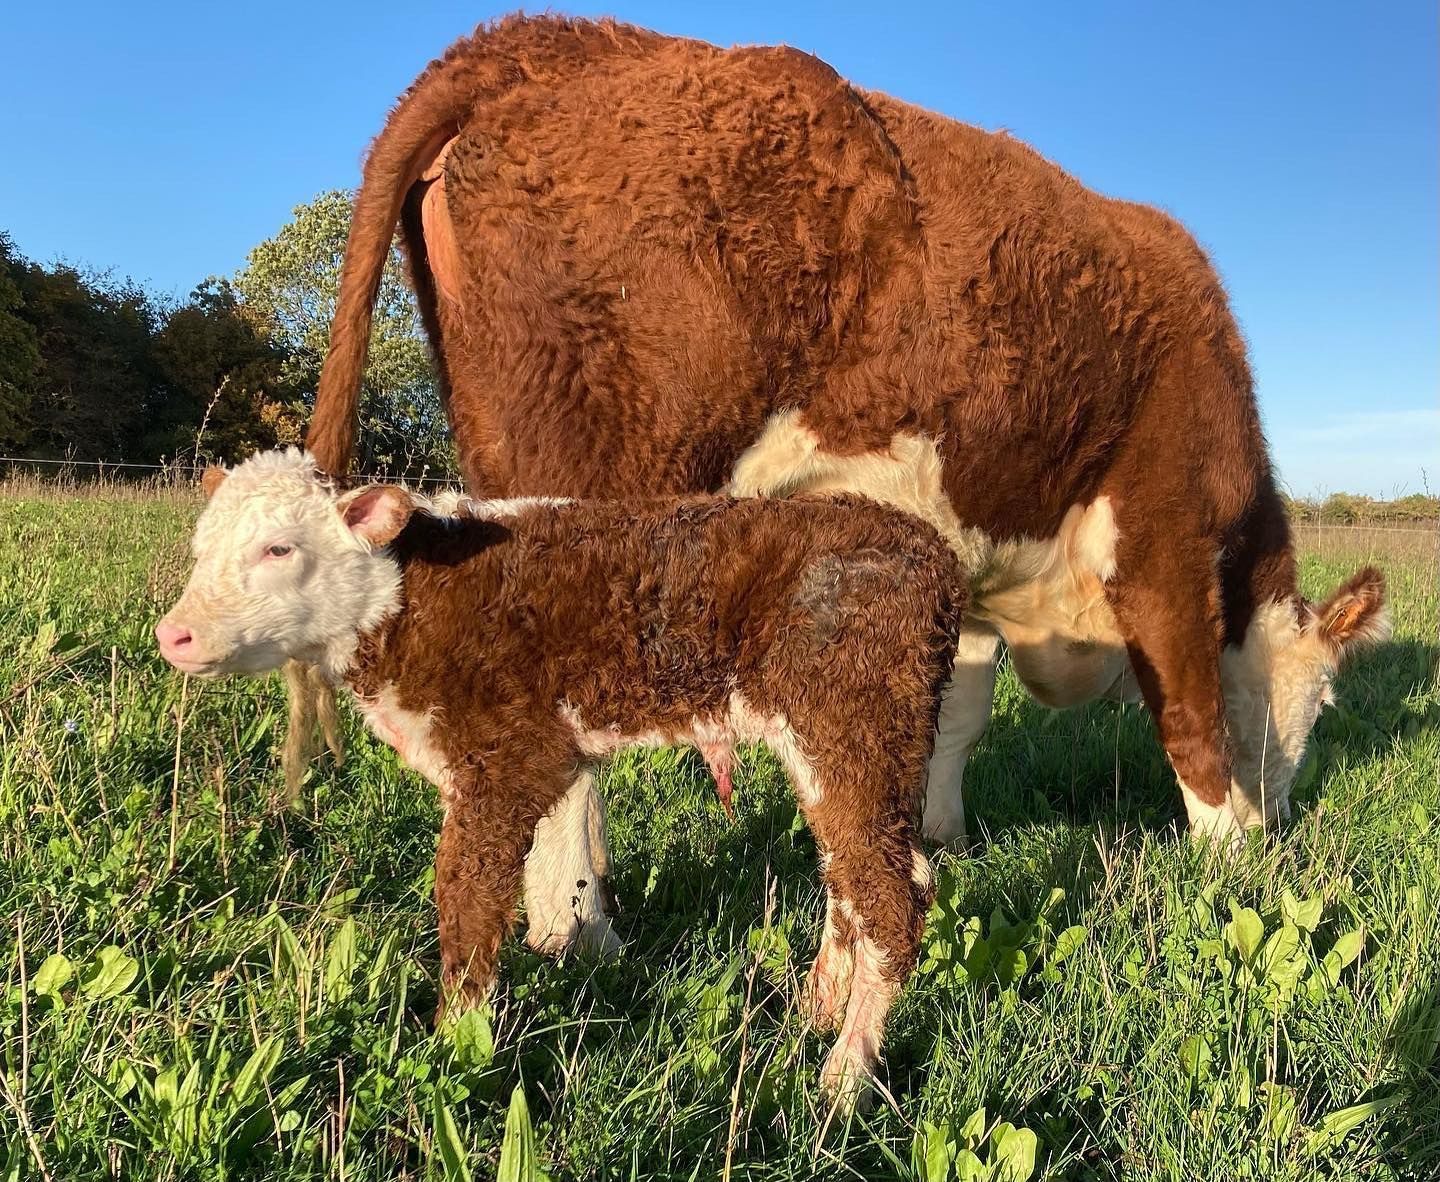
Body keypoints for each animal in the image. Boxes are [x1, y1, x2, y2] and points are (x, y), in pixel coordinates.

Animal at [156, 448, 964, 1099]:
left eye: (279, 548)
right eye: (200, 549)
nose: (174, 634)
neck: (408, 602)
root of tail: (930, 550)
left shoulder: (503, 762)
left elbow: (468, 896)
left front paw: (455, 1042)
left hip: (852, 724)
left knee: (890, 896)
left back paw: (845, 1074)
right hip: (845, 747)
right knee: (855, 877)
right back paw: (815, 1008)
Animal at [296, 15, 1386, 881]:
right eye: (1327, 700)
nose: (1285, 819)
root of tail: (541, 38)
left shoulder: (974, 558)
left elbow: (958, 714)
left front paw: (940, 840)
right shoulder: (1159, 534)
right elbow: (1192, 715)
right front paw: (1233, 863)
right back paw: (577, 932)